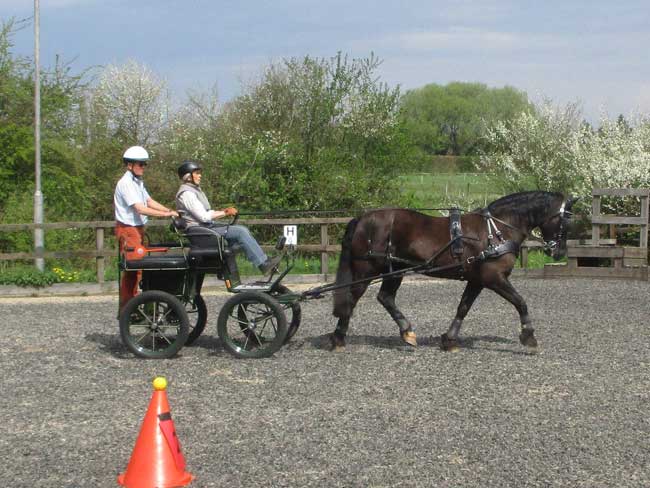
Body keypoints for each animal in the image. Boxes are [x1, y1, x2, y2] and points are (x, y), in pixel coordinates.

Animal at [330, 190, 572, 350]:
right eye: (566, 220)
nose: (559, 252)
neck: (496, 230)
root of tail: (362, 218)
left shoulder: (477, 280)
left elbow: (463, 307)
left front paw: (450, 339)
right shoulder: (494, 278)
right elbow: (520, 302)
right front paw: (528, 335)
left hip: (395, 269)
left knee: (385, 297)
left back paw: (407, 332)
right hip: (366, 271)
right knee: (352, 298)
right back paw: (339, 337)